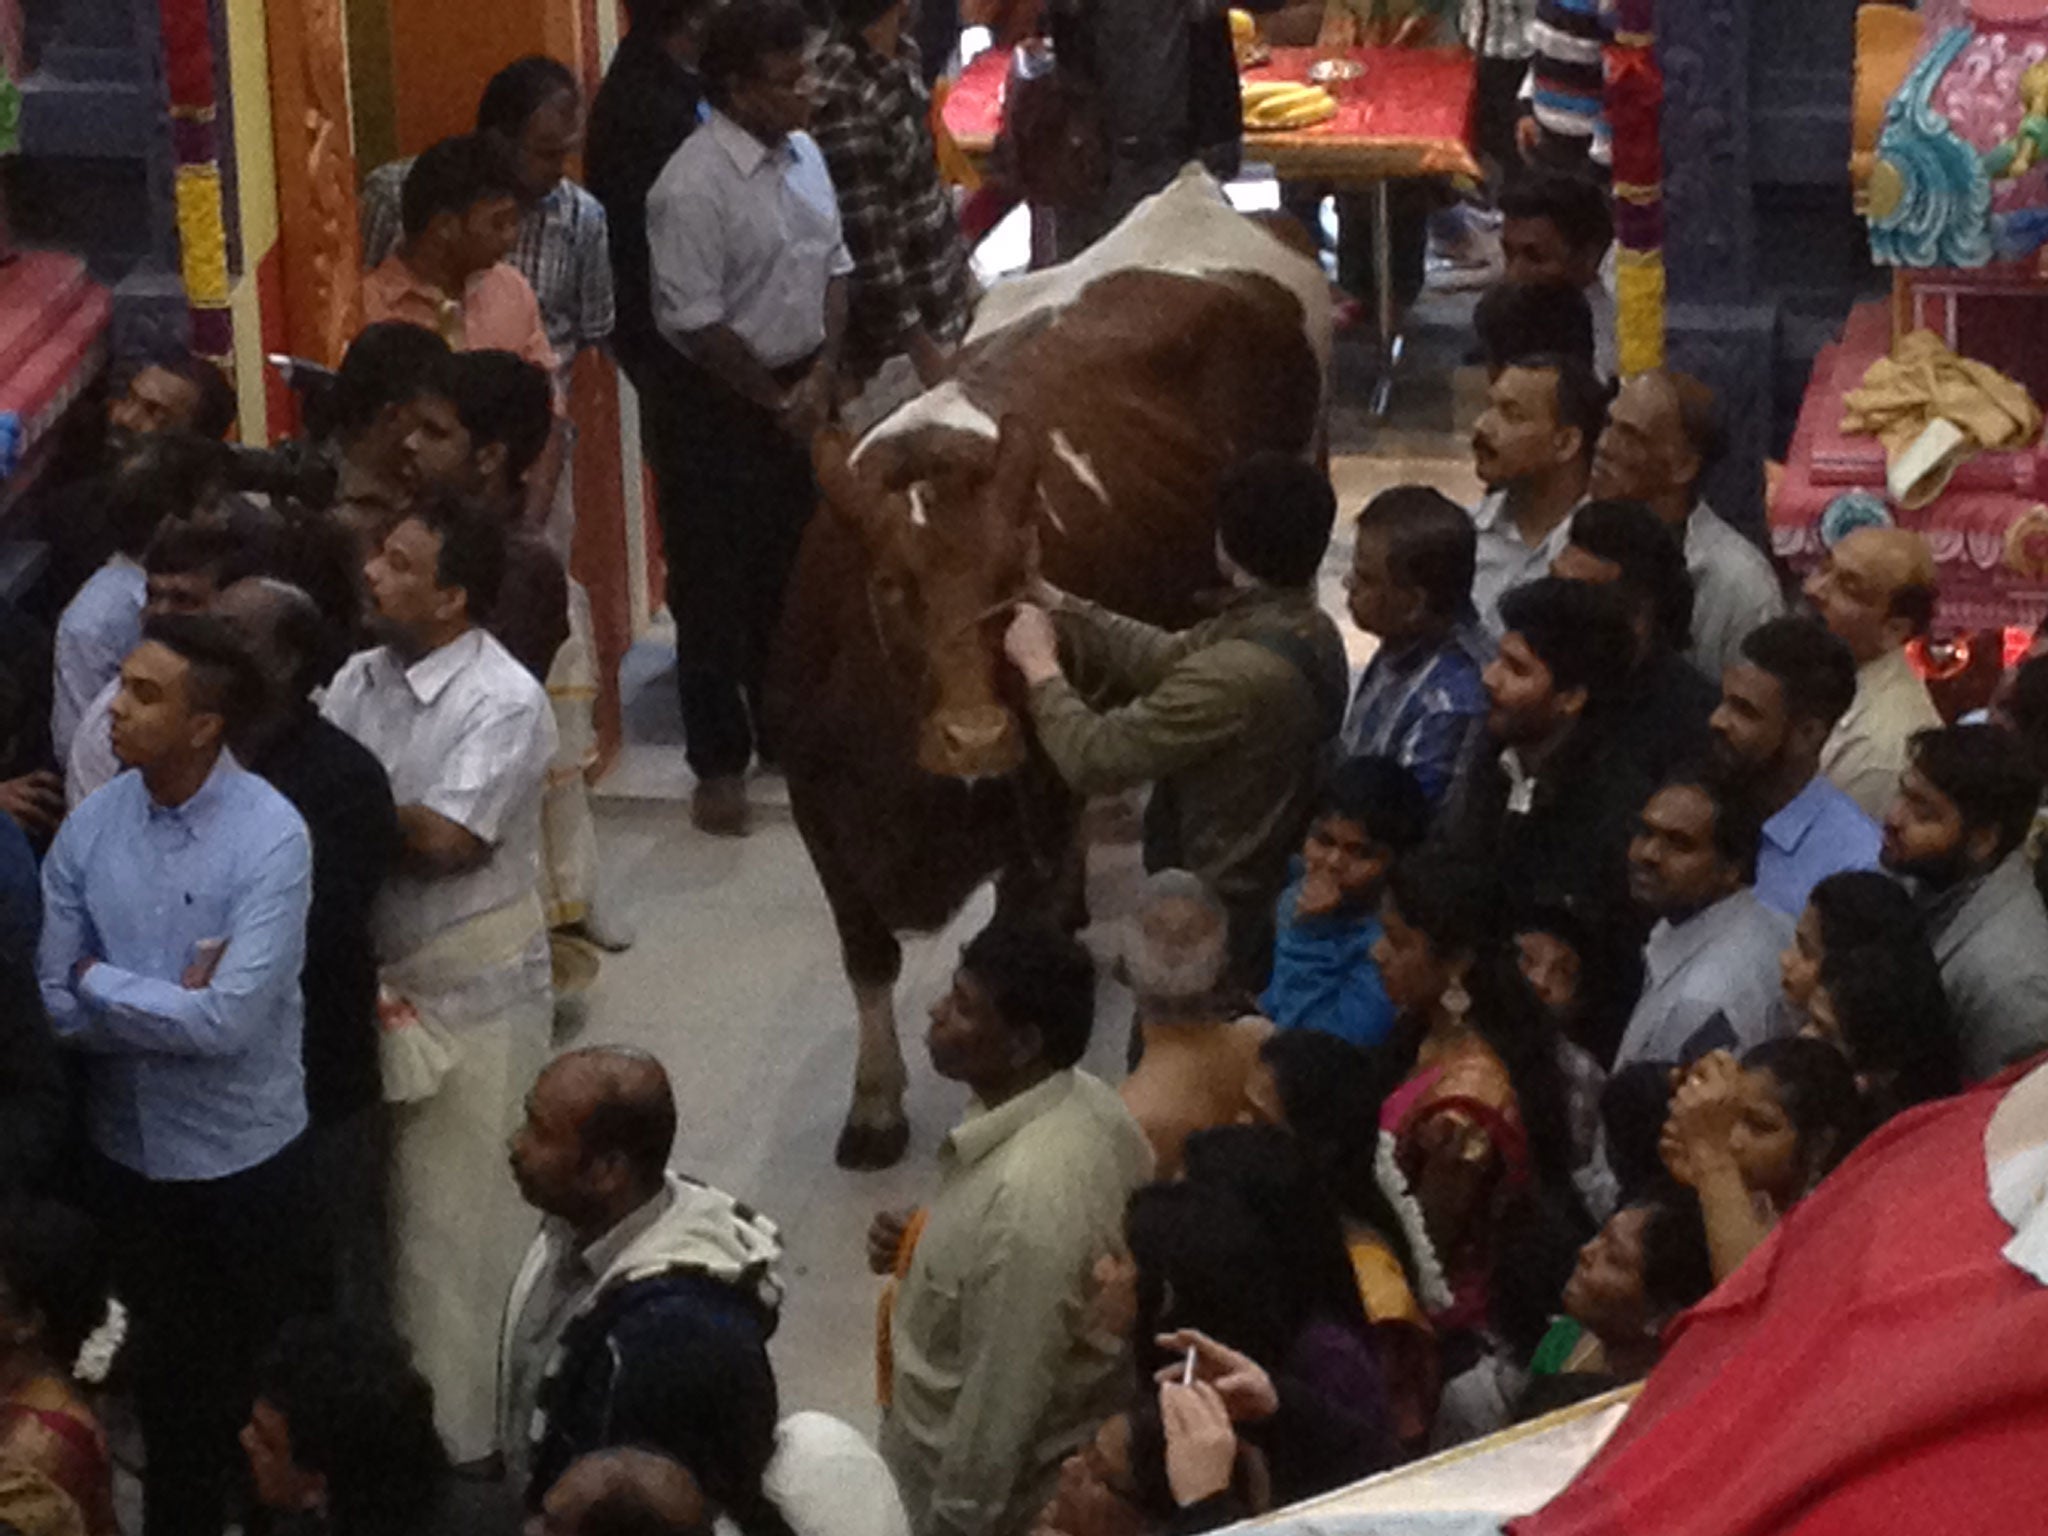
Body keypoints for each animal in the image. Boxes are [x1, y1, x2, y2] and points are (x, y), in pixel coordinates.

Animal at [765, 167, 1327, 1171]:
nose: (978, 735)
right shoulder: (817, 812)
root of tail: (1197, 195)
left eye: (1016, 570)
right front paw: (874, 1104)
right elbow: (867, 958)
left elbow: (1007, 952)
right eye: (888, 584)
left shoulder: (1032, 806)